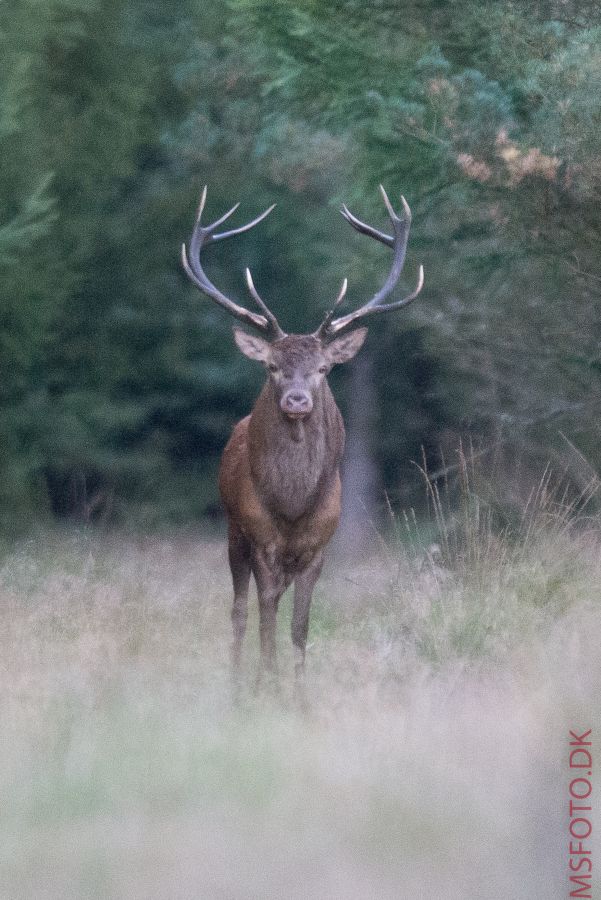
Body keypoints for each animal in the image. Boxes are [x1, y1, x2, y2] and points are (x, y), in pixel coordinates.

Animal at [180, 185, 424, 688]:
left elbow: (299, 626)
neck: (293, 507)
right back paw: (238, 682)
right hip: (233, 532)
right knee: (240, 611)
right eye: (272, 366)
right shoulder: (261, 541)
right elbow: (266, 618)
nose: (296, 400)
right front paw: (265, 684)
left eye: (324, 368)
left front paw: (298, 692)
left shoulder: (319, 548)